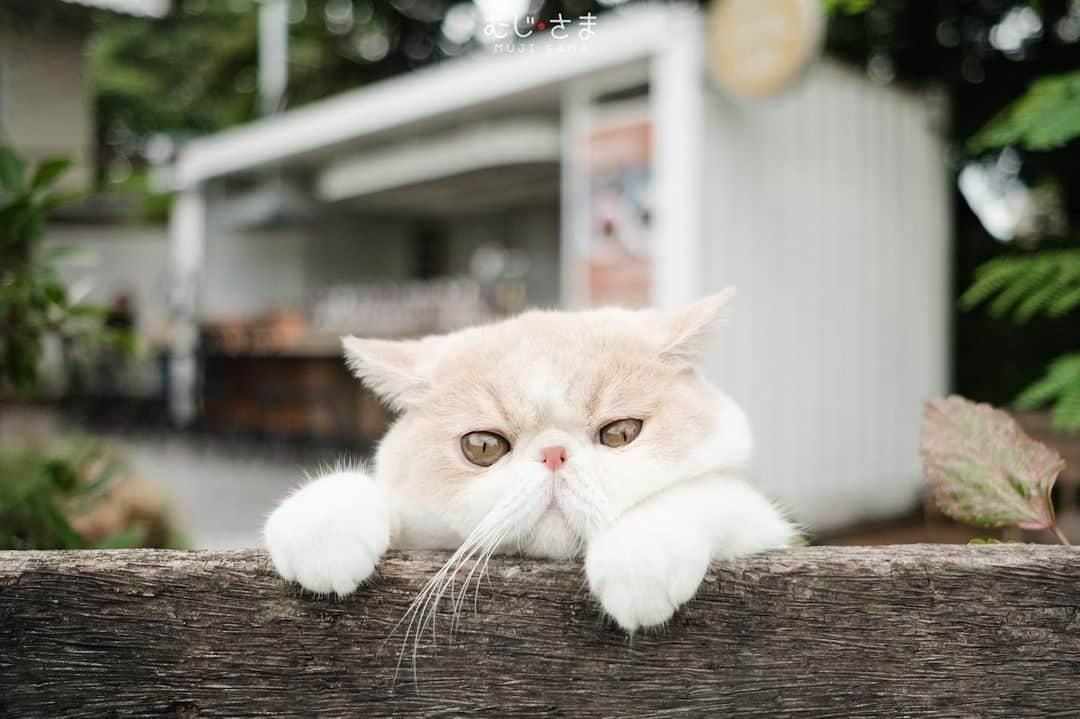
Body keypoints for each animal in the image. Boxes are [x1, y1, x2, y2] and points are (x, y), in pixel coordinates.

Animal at [264, 289, 799, 630]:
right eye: (482, 447)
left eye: (621, 433)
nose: (554, 453)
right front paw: (322, 527)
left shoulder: (768, 527)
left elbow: (702, 490)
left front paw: (641, 555)